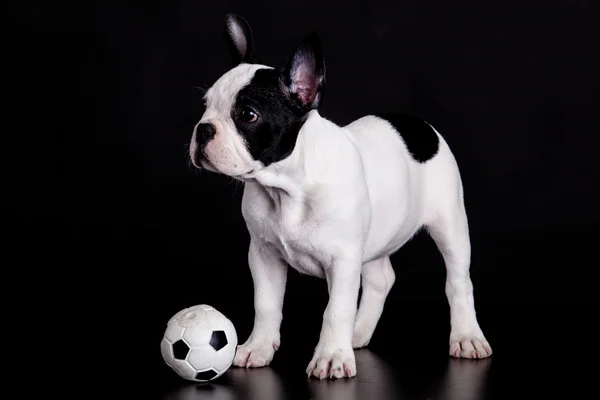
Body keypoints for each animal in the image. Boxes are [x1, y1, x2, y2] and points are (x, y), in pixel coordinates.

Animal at [189, 14, 492, 380]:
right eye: (205, 106)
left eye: (248, 115)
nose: (202, 129)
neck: (286, 188)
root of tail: (419, 125)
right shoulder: (263, 255)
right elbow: (266, 304)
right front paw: (258, 347)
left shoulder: (343, 260)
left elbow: (335, 310)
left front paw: (332, 356)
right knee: (381, 279)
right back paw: (358, 333)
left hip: (450, 225)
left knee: (458, 282)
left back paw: (466, 337)